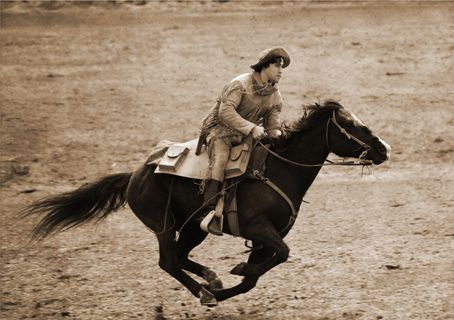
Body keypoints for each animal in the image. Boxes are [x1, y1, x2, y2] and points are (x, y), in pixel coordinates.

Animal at [22, 101, 390, 306]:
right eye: (351, 124)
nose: (384, 148)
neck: (278, 170)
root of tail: (134, 175)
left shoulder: (262, 238)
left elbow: (254, 278)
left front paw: (236, 274)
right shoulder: (260, 229)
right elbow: (281, 256)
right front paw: (236, 271)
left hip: (194, 228)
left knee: (181, 256)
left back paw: (211, 281)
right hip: (163, 224)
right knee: (168, 261)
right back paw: (205, 292)